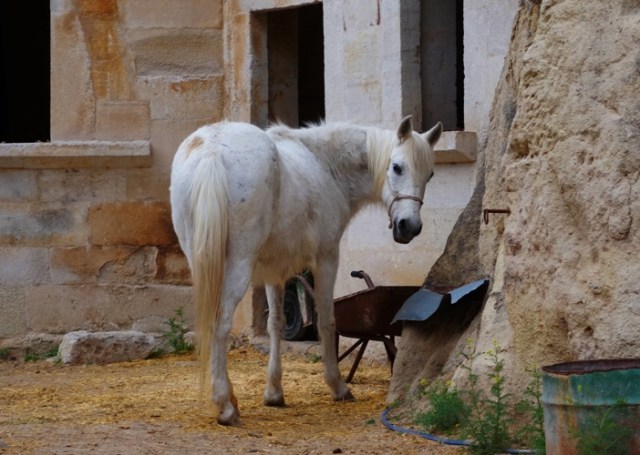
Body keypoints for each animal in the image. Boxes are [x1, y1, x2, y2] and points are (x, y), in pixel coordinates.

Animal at [169, 115, 442, 425]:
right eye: (396, 167)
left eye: (430, 174)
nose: (410, 227)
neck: (325, 165)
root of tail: (211, 150)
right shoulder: (327, 258)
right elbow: (327, 321)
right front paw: (337, 386)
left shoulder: (273, 269)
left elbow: (275, 324)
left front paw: (274, 393)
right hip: (237, 266)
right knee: (220, 324)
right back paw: (225, 406)